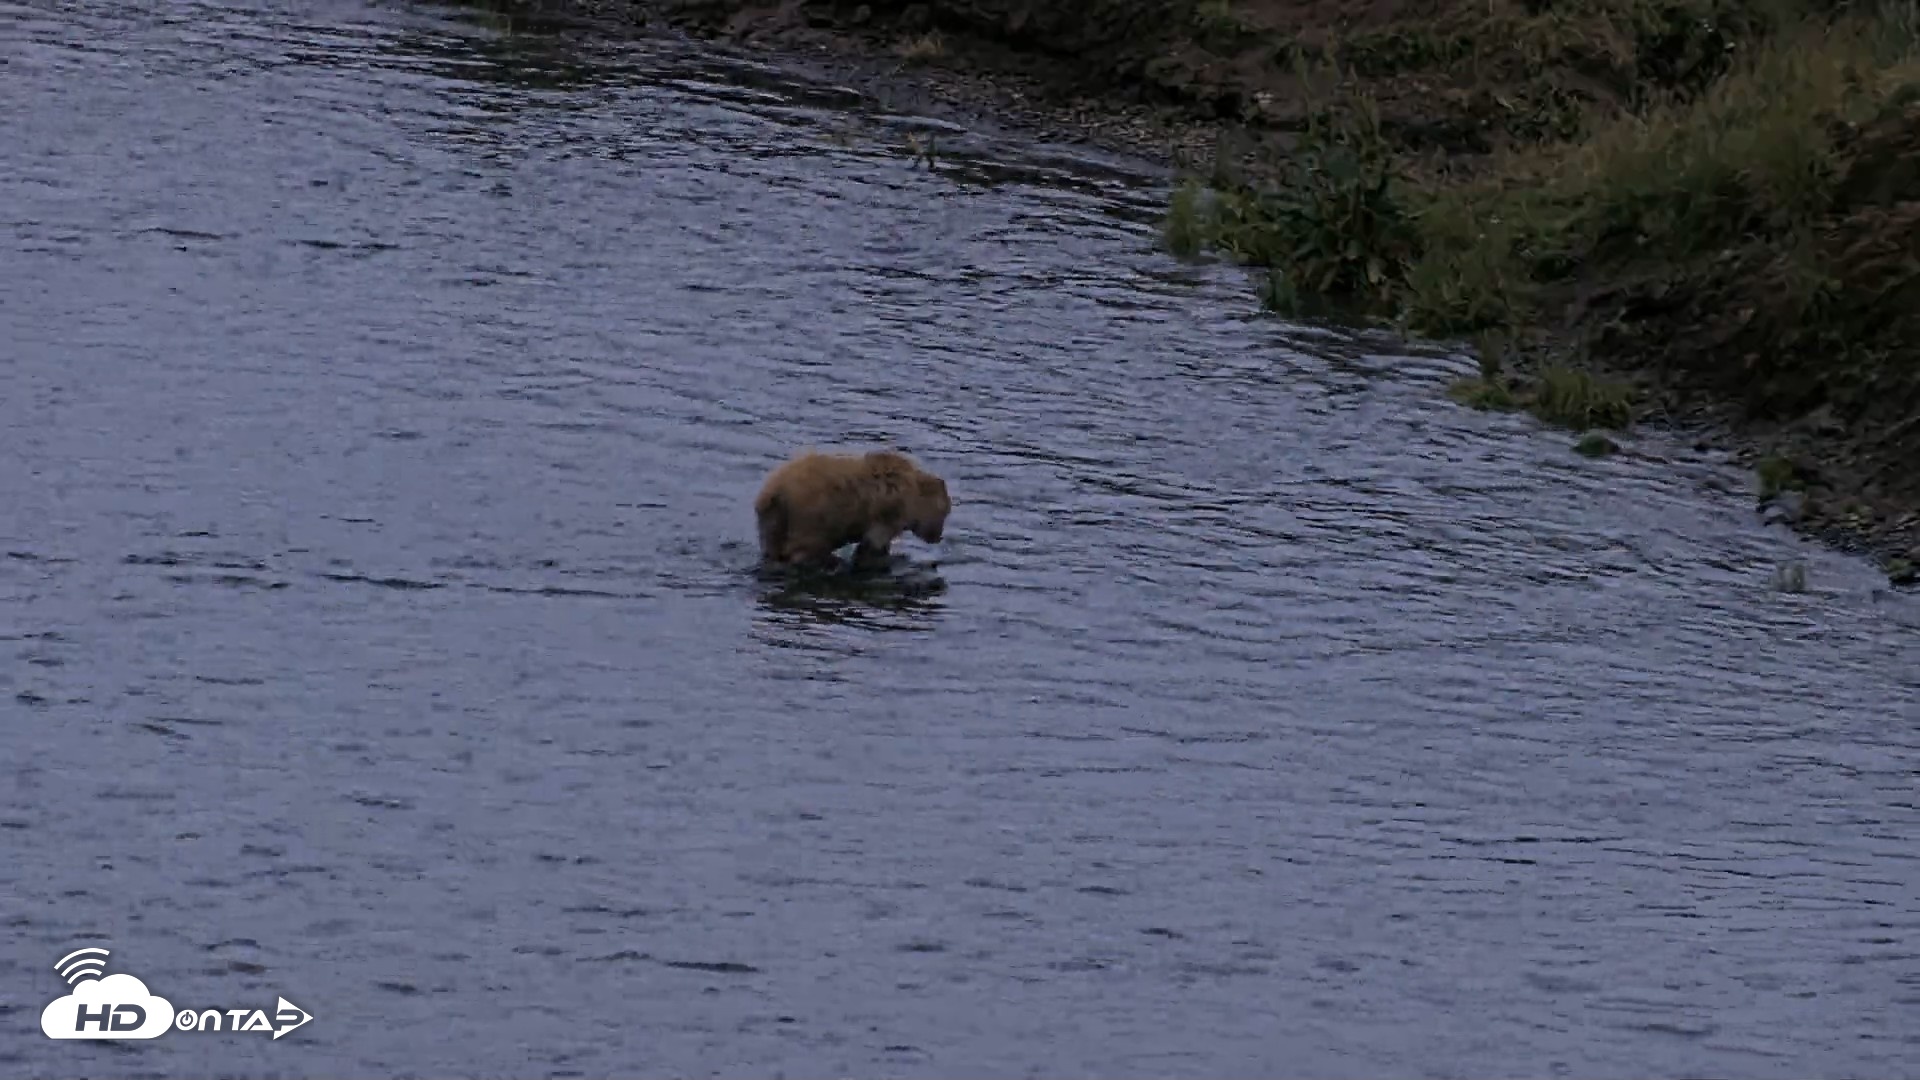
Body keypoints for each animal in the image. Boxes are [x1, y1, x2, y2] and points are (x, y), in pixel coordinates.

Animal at [753, 448, 951, 571]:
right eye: (944, 512)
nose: (938, 536)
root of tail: (772, 492)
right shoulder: (887, 514)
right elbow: (874, 544)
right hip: (809, 514)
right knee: (802, 547)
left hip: (774, 517)